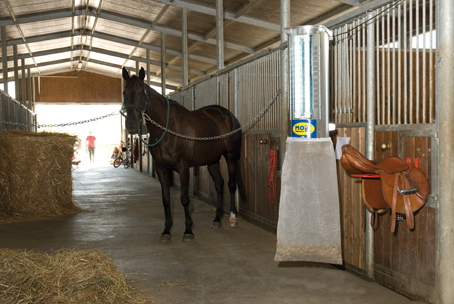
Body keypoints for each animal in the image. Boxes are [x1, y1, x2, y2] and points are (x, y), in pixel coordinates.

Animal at [122, 67, 247, 241]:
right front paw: (166, 230)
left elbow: (184, 199)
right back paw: (217, 219)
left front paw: (188, 231)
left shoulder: (183, 167)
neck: (168, 128)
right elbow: (166, 199)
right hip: (212, 160)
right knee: (219, 183)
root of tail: (228, 116)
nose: (131, 126)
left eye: (141, 92)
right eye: (124, 93)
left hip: (231, 156)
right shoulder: (161, 168)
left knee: (231, 183)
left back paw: (233, 218)